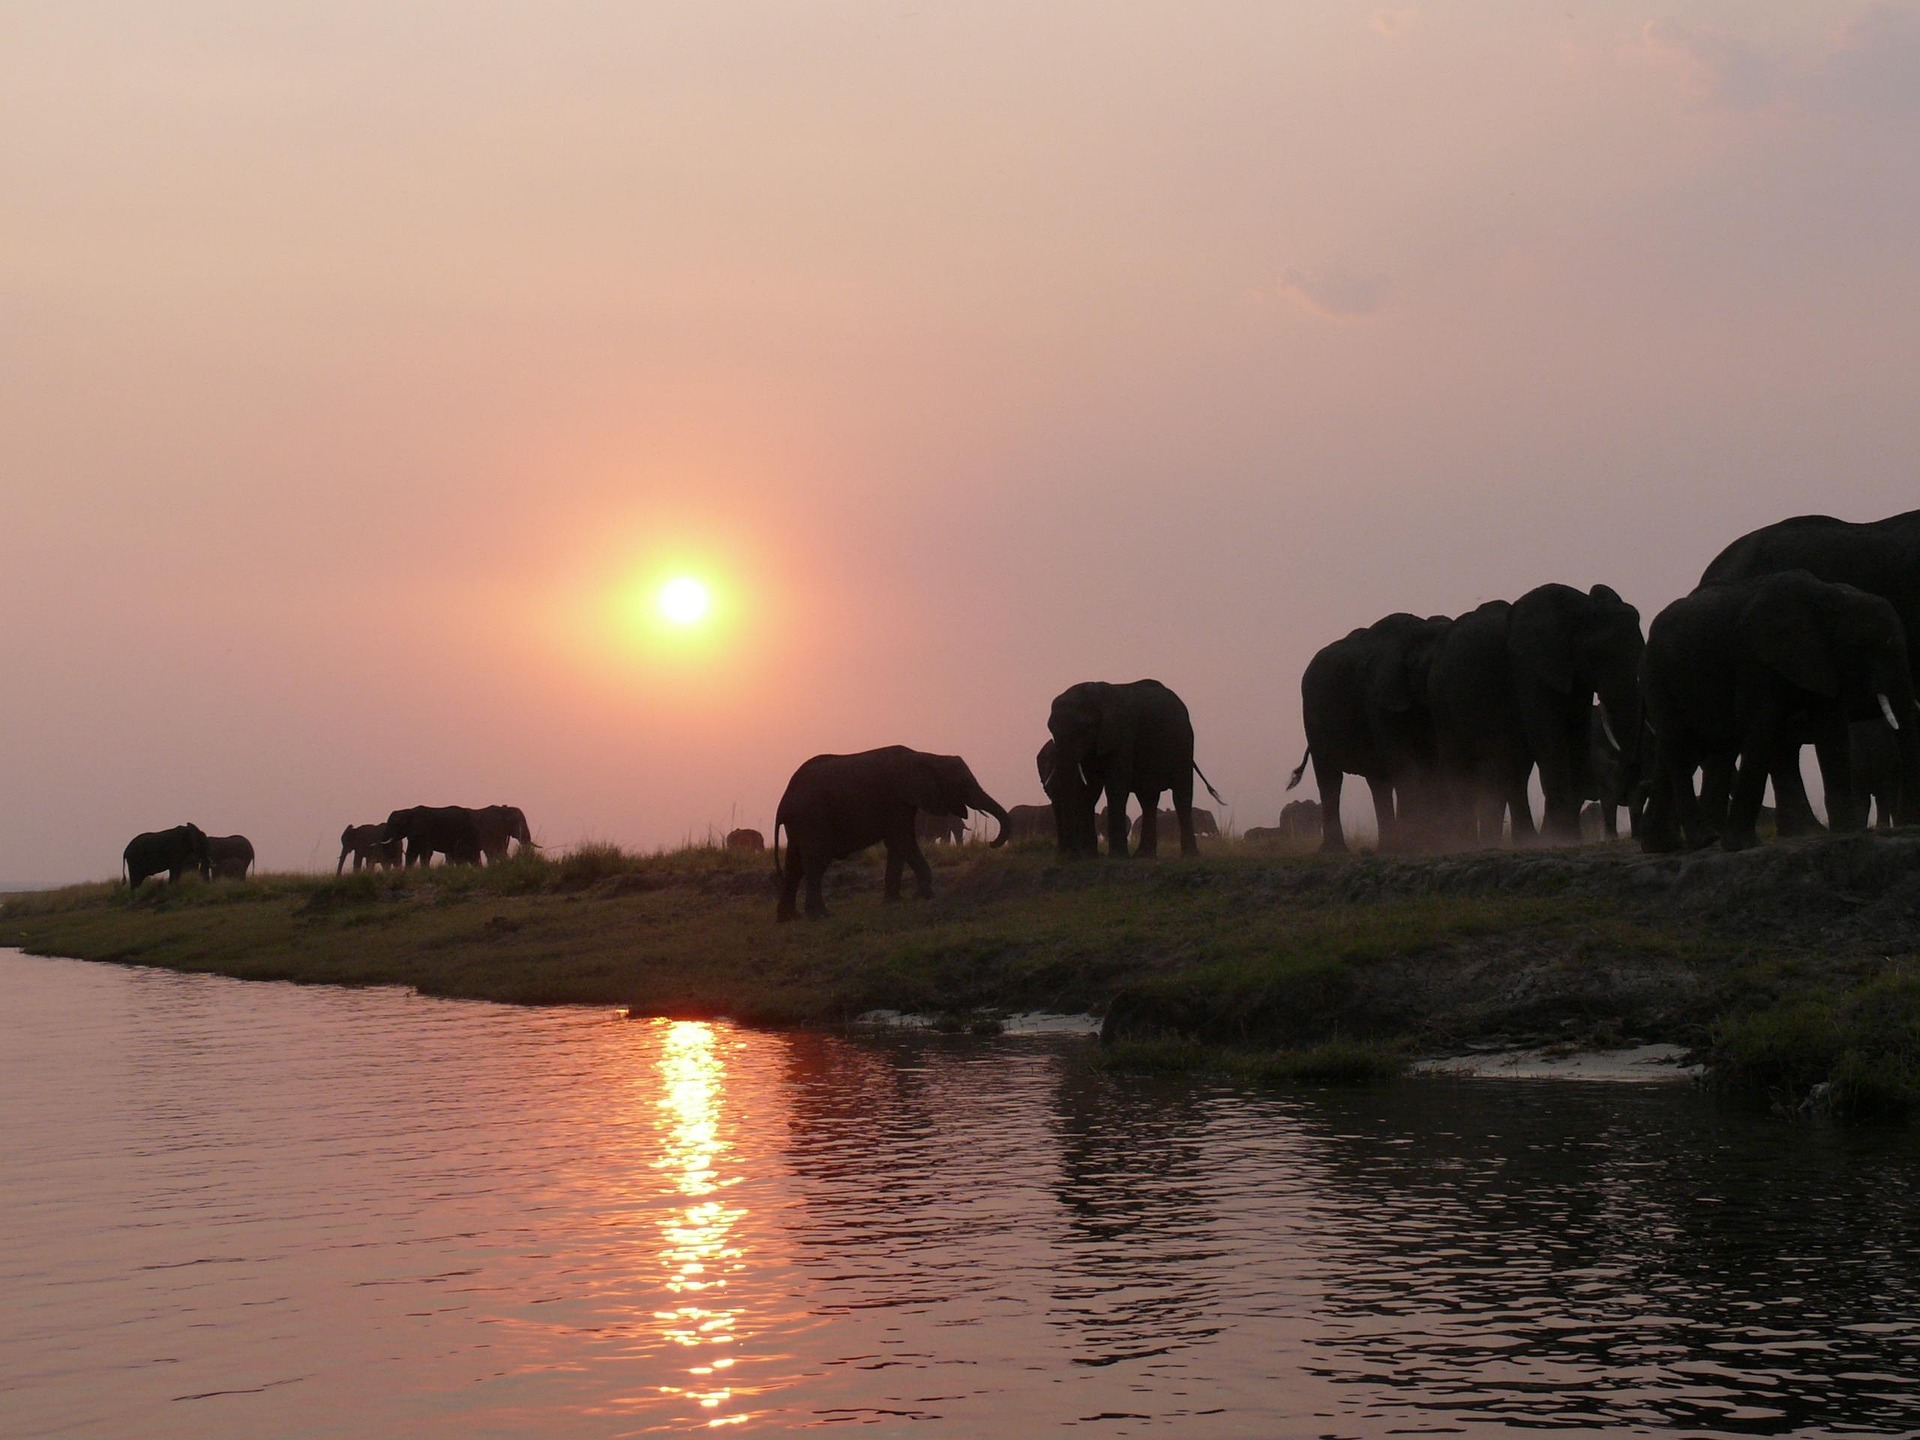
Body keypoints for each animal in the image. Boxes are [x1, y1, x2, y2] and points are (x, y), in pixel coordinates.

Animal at [774, 746, 1009, 920]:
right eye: (963, 783)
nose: (991, 843)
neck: (926, 756)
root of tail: (783, 802)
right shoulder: (894, 799)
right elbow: (900, 841)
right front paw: (902, 900)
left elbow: (906, 843)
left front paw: (918, 897)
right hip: (812, 818)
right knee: (816, 861)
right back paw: (821, 915)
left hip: (801, 823)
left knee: (794, 864)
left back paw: (789, 918)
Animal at [1040, 680, 1224, 858]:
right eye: (1051, 729)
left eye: (1083, 729)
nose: (1071, 855)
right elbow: (1089, 790)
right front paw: (1090, 856)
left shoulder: (1123, 737)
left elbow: (1116, 786)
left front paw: (1117, 857)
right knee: (1148, 799)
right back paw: (1144, 854)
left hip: (1184, 743)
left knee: (1181, 794)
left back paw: (1189, 855)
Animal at [1290, 613, 1453, 852]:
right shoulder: (1378, 698)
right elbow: (1402, 760)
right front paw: (1416, 842)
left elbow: (1432, 763)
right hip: (1312, 717)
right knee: (1330, 778)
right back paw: (1336, 850)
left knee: (1378, 782)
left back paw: (1387, 846)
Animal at [1640, 570, 1915, 852]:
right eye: (1872, 645)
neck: (1830, 596)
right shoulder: (1754, 657)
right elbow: (1763, 726)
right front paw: (1743, 845)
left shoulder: (1823, 660)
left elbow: (1832, 732)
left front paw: (1848, 832)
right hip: (1657, 675)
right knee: (1681, 746)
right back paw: (1703, 840)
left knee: (1691, 749)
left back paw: (1663, 845)